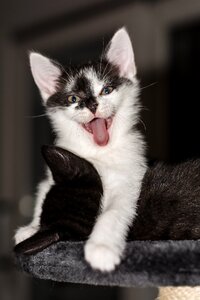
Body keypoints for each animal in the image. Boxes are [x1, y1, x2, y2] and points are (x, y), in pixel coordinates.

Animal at [13, 28, 145, 272]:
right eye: (73, 98)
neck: (98, 152)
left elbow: (115, 211)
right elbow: (44, 189)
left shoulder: (131, 179)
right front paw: (32, 227)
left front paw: (101, 248)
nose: (92, 104)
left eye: (106, 90)